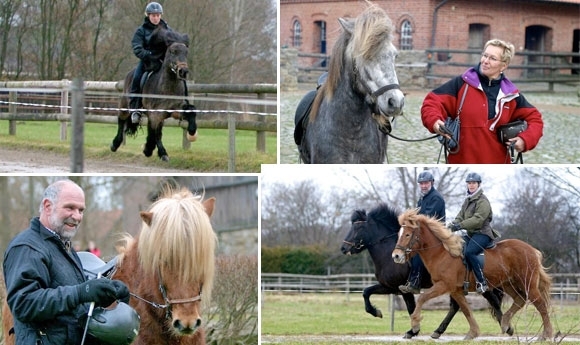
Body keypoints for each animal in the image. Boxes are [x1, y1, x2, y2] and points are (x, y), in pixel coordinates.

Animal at [110, 26, 198, 161]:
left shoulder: (173, 110)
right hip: (125, 104)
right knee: (121, 120)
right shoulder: (156, 113)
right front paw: (161, 153)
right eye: (172, 51)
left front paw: (192, 131)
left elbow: (190, 110)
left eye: (186, 52)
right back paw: (115, 144)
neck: (167, 88)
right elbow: (157, 133)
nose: (183, 71)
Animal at [340, 203, 508, 338]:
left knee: (490, 300)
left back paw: (505, 325)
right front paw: (376, 312)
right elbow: (366, 292)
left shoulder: (404, 289)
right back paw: (439, 331)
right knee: (457, 306)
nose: (343, 248)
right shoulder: (390, 287)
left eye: (358, 227)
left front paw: (413, 330)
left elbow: (411, 308)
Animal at [390, 208, 552, 340]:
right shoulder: (455, 290)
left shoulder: (443, 285)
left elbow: (423, 298)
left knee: (540, 305)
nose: (396, 256)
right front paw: (473, 333)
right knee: (520, 299)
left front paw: (415, 325)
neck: (443, 253)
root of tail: (532, 250)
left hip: (528, 284)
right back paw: (506, 323)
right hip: (508, 284)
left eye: (408, 234)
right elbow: (466, 310)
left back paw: (546, 335)